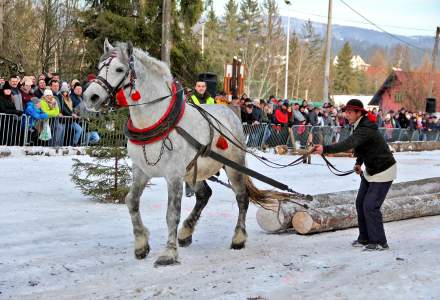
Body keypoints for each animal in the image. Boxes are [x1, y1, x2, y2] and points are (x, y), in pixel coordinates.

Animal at [82, 40, 256, 268]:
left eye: (119, 69)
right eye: (100, 67)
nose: (90, 97)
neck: (154, 119)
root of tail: (231, 111)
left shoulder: (173, 175)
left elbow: (171, 213)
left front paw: (169, 253)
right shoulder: (141, 171)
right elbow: (131, 201)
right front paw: (141, 244)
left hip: (233, 166)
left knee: (242, 197)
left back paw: (238, 238)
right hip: (194, 171)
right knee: (204, 194)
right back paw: (186, 232)